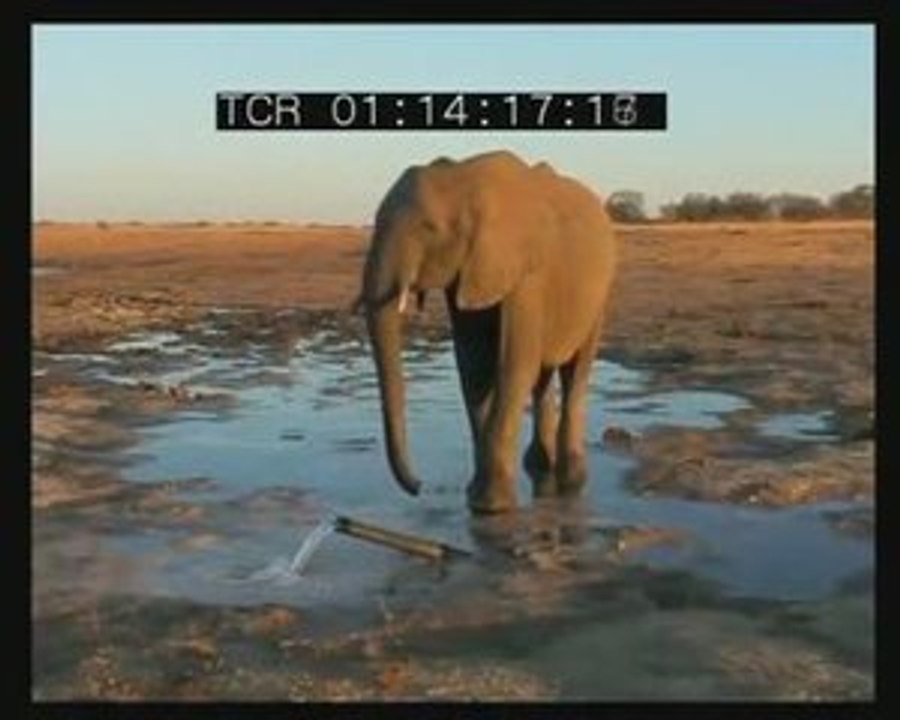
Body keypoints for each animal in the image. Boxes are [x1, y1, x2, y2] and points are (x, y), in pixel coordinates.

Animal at [355, 150, 618, 514]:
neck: (464, 177)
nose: (419, 487)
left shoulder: (526, 272)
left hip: (599, 296)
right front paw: (475, 499)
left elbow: (514, 365)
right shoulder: (468, 271)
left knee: (575, 371)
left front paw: (490, 507)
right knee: (542, 377)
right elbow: (475, 366)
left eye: (428, 228)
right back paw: (539, 466)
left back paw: (572, 480)